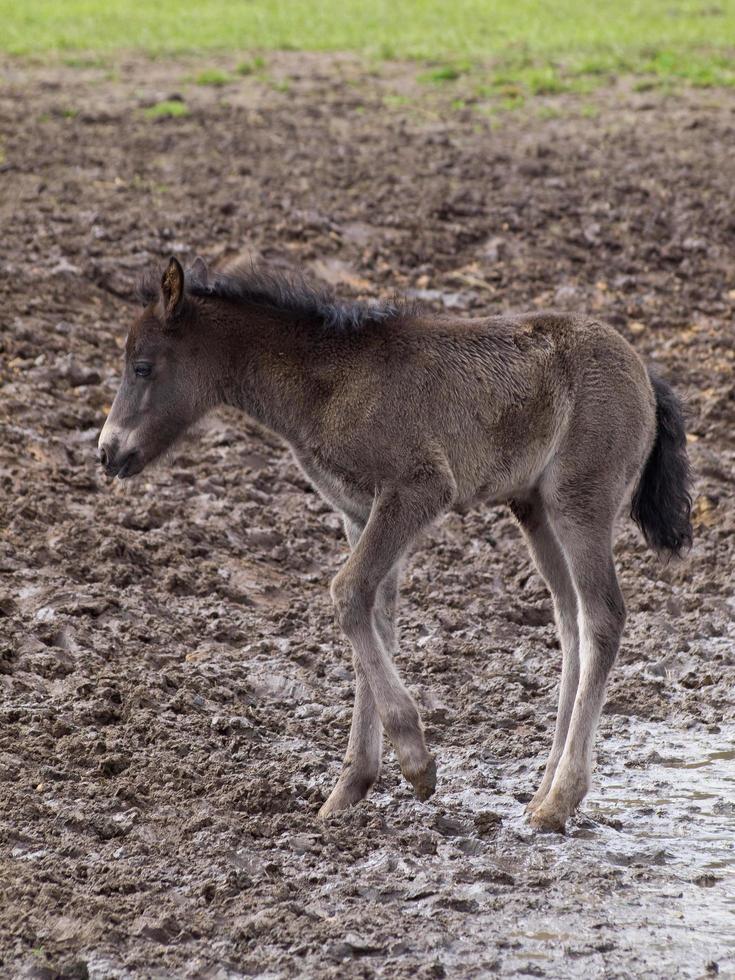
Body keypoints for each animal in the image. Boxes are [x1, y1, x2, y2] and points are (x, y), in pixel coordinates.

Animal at [96, 256, 688, 832]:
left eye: (142, 366)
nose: (107, 453)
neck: (330, 383)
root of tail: (646, 374)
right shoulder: (358, 512)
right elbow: (373, 615)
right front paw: (349, 789)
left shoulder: (417, 490)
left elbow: (346, 593)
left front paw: (416, 761)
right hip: (535, 510)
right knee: (571, 622)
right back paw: (541, 793)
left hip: (579, 503)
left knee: (603, 616)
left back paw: (559, 799)